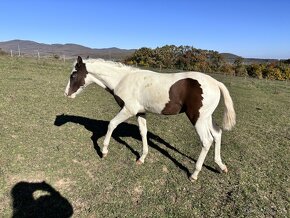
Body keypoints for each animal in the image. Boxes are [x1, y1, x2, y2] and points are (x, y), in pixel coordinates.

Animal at [64, 56, 236, 181]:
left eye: (74, 74)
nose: (66, 94)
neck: (123, 79)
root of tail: (216, 82)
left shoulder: (128, 110)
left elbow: (111, 125)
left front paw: (104, 151)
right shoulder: (140, 113)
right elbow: (143, 133)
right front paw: (142, 158)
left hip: (197, 118)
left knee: (207, 140)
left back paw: (194, 174)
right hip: (206, 117)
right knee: (217, 134)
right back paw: (221, 166)